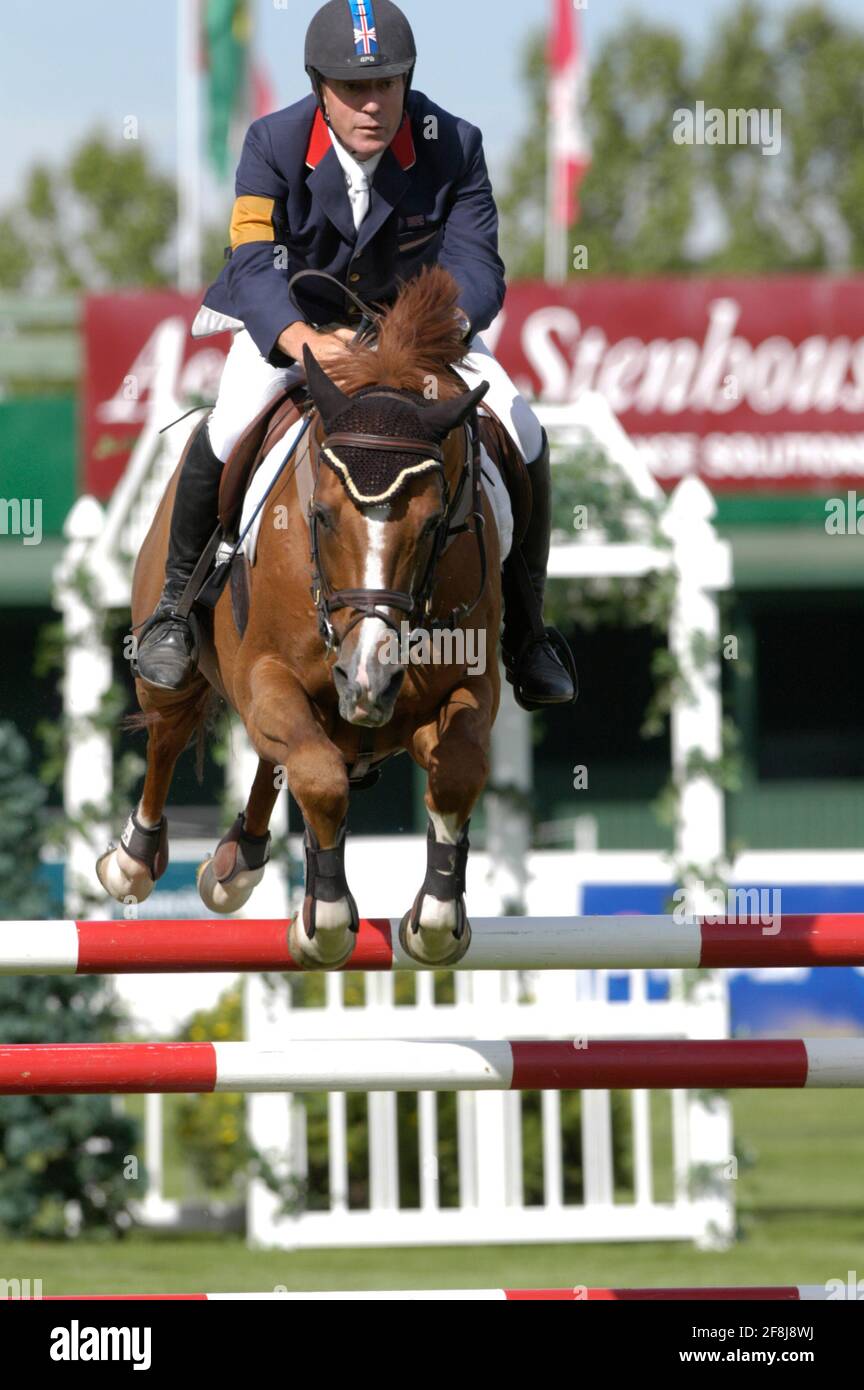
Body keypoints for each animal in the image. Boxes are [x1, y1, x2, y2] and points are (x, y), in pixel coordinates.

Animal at [96, 267, 503, 969]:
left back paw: (238, 860)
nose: (367, 681)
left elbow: (454, 771)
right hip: (174, 656)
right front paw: (329, 919)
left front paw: (436, 917)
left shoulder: (471, 686)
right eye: (322, 516)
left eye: (433, 526)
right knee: (171, 733)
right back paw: (135, 860)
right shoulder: (266, 671)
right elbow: (320, 776)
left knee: (277, 754)